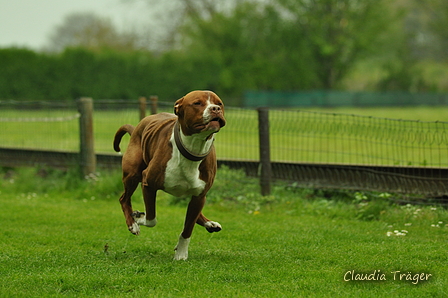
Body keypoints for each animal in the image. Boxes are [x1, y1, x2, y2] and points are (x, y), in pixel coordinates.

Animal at [112, 89, 224, 260]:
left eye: (219, 104)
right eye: (197, 103)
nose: (215, 109)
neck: (192, 148)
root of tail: (138, 127)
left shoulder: (200, 195)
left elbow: (187, 229)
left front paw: (181, 254)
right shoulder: (148, 184)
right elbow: (151, 218)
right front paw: (138, 217)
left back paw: (209, 224)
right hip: (132, 175)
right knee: (124, 198)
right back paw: (132, 224)